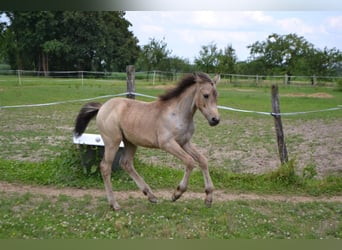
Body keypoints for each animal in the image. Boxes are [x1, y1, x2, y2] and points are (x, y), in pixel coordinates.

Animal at [73, 71, 220, 210]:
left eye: (216, 96)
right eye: (206, 95)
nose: (215, 120)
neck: (178, 113)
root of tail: (102, 107)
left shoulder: (185, 143)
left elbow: (203, 161)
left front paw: (208, 198)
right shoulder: (167, 143)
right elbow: (190, 162)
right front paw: (177, 193)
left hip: (130, 142)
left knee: (126, 163)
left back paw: (151, 196)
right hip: (112, 141)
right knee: (105, 167)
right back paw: (114, 204)